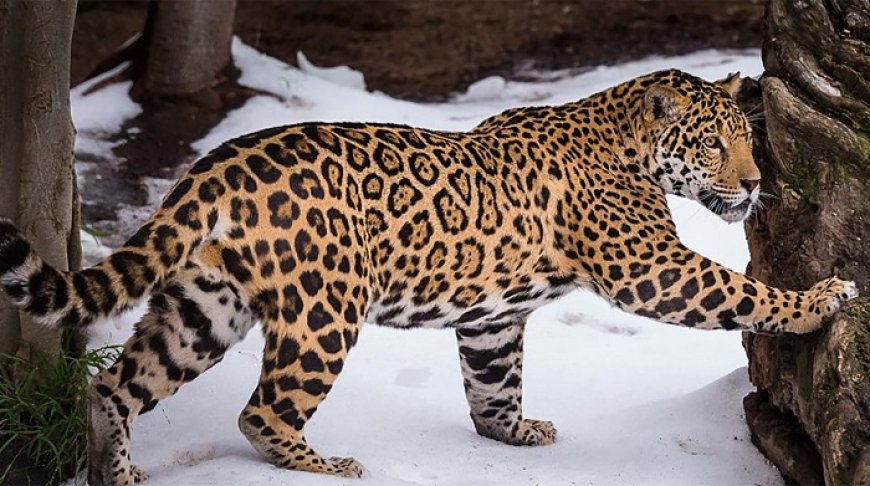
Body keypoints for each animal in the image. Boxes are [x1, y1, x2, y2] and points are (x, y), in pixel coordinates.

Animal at [0, 69, 858, 486]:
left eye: (746, 139)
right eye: (714, 145)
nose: (754, 185)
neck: (627, 143)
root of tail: (209, 171)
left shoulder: (492, 316)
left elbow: (493, 380)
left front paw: (511, 433)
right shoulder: (651, 267)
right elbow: (742, 293)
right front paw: (821, 300)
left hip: (205, 307)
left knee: (116, 385)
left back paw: (116, 472)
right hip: (324, 312)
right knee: (261, 411)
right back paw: (327, 466)